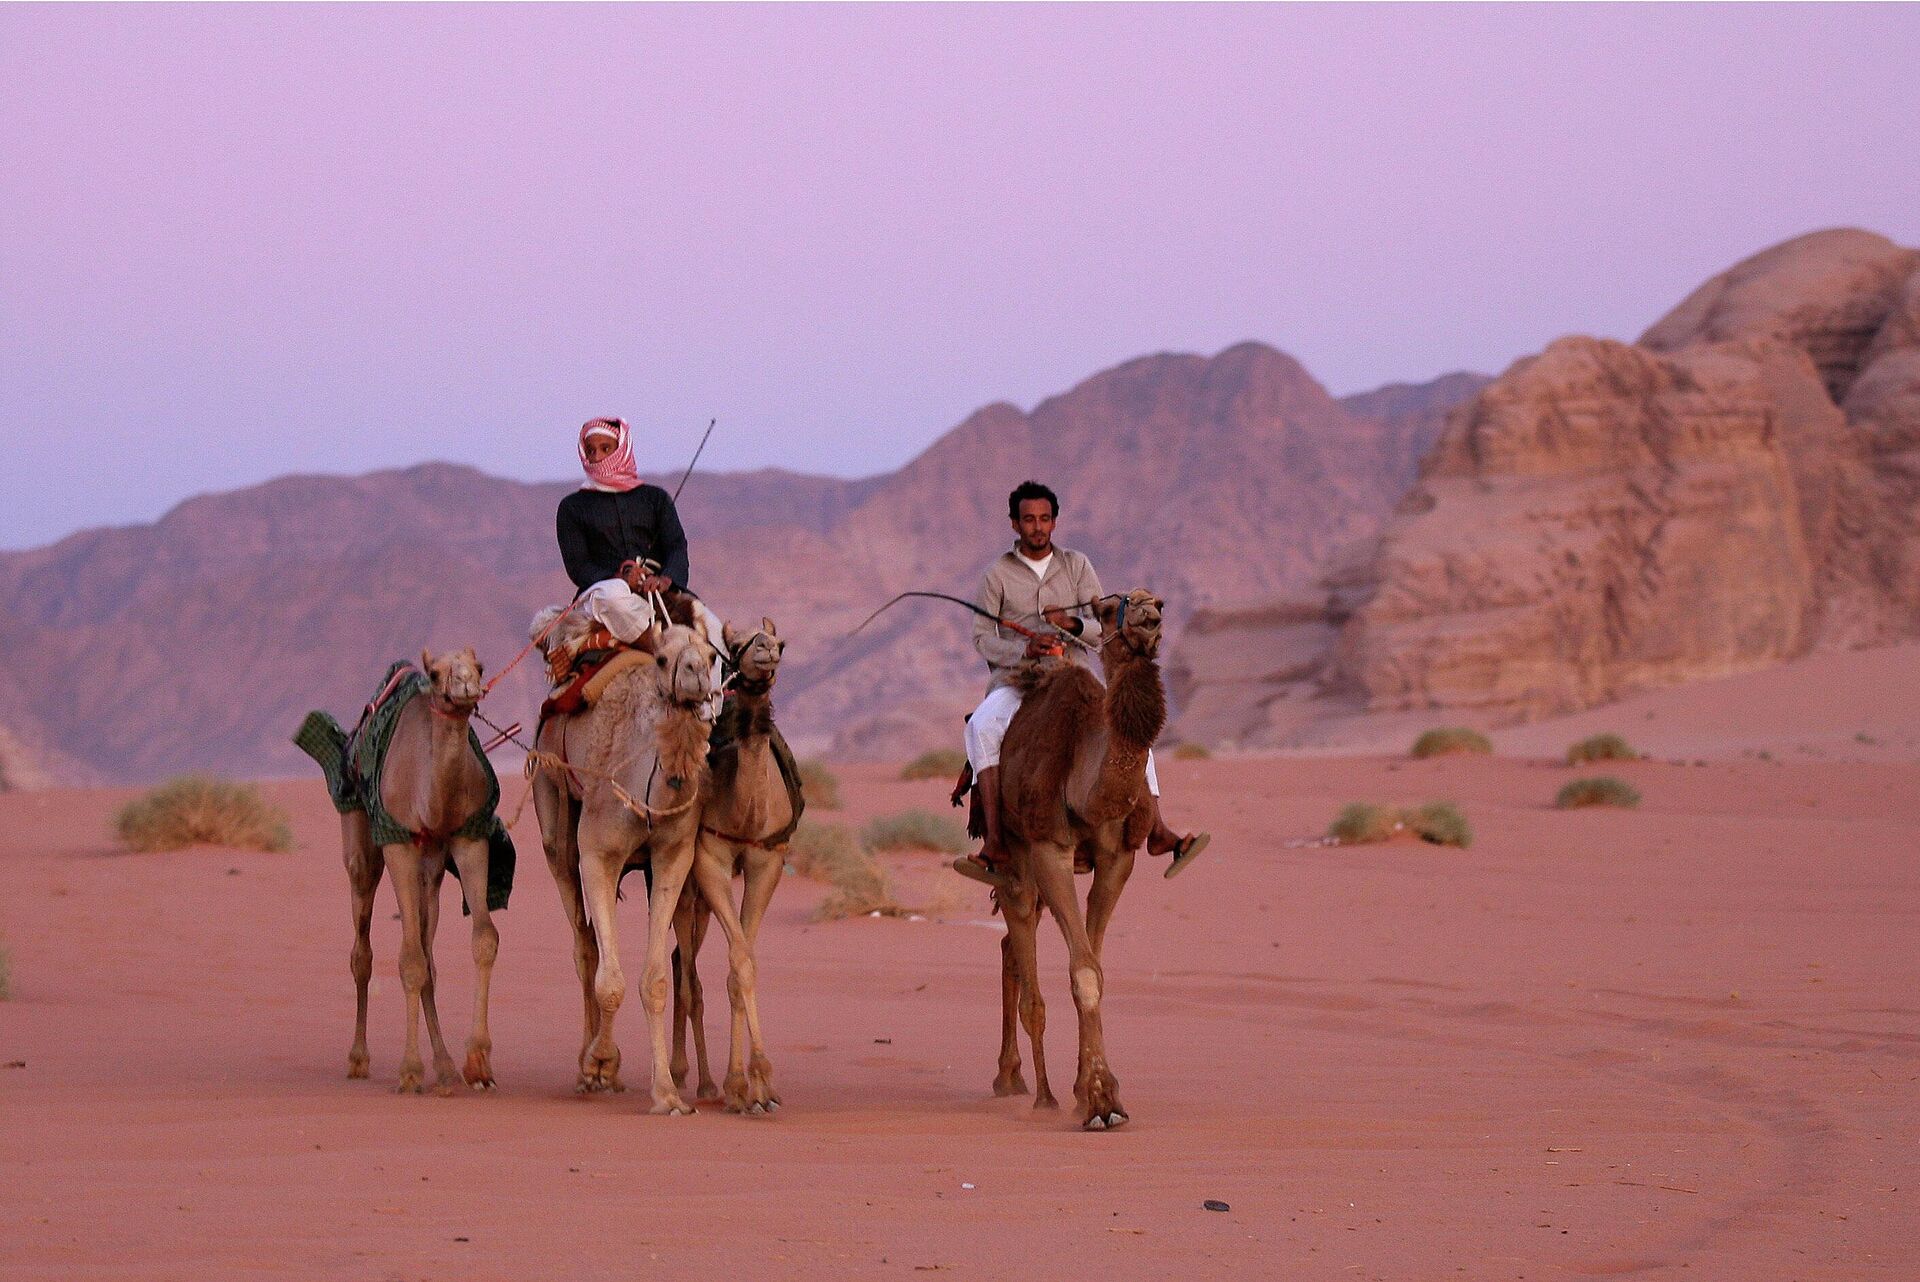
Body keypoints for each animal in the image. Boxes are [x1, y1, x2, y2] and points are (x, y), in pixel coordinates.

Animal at [339, 652, 503, 1090]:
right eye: (435, 672)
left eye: (480, 666)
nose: (466, 685)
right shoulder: (398, 842)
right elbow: (409, 960)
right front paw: (410, 1070)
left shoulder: (468, 836)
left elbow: (484, 938)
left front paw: (478, 1061)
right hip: (360, 841)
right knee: (363, 950)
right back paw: (358, 1059)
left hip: (431, 869)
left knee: (429, 956)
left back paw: (445, 1067)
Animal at [537, 621, 760, 1113]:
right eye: (662, 658)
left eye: (712, 656)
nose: (694, 673)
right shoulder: (597, 855)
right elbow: (610, 980)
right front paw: (601, 1063)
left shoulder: (673, 857)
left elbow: (655, 978)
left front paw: (667, 1093)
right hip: (553, 815)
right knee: (584, 946)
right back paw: (587, 1068)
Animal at [672, 617, 798, 1113]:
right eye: (737, 643)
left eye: (780, 641)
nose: (766, 650)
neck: (748, 814)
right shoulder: (710, 862)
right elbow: (740, 961)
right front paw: (749, 1081)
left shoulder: (767, 862)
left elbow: (741, 964)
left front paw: (752, 1088)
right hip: (686, 887)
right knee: (685, 971)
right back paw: (691, 1077)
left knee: (682, 963)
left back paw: (702, 1080)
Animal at [990, 587, 1167, 1128]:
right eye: (1111, 610)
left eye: (1161, 604)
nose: (1150, 621)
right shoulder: (1049, 847)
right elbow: (1083, 971)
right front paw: (1099, 1099)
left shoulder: (1117, 858)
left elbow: (1096, 968)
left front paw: (1091, 1089)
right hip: (1014, 856)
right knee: (1020, 940)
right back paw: (1033, 1091)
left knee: (1011, 946)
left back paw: (1016, 1078)